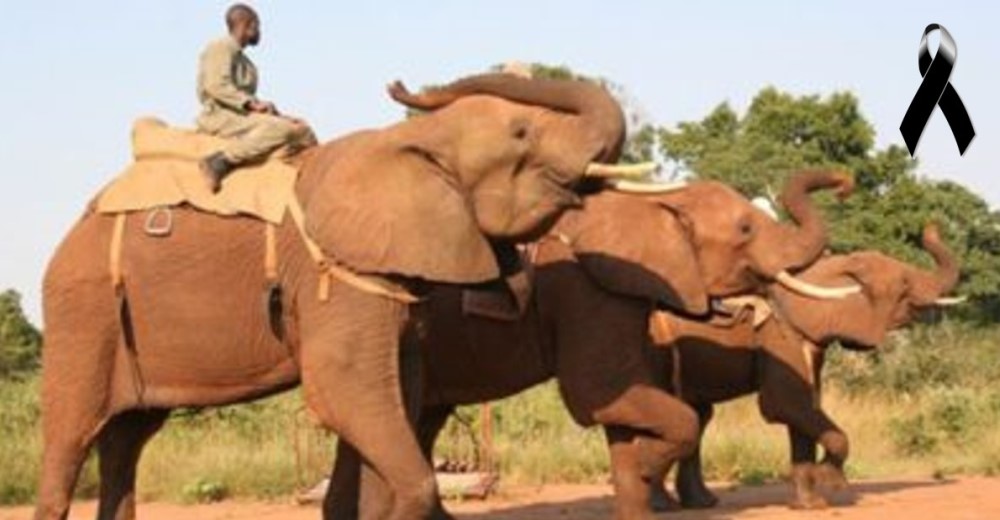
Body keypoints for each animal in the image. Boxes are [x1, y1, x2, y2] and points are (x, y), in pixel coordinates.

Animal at [37, 73, 640, 520]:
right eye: (521, 133)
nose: (399, 83)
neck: (404, 142)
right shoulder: (335, 276)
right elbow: (344, 392)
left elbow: (395, 396)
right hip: (81, 311)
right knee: (71, 441)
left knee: (126, 440)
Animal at [330, 171, 860, 520]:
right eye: (746, 229)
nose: (844, 183)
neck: (655, 202)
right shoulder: (586, 288)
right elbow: (603, 396)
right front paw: (646, 469)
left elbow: (621, 408)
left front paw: (638, 482)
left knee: (415, 424)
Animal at [644, 222, 964, 508]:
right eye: (905, 285)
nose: (931, 225)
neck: (828, 269)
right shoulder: (777, 332)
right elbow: (786, 404)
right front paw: (831, 482)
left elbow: (805, 408)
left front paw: (811, 506)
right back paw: (665, 507)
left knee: (697, 415)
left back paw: (699, 503)